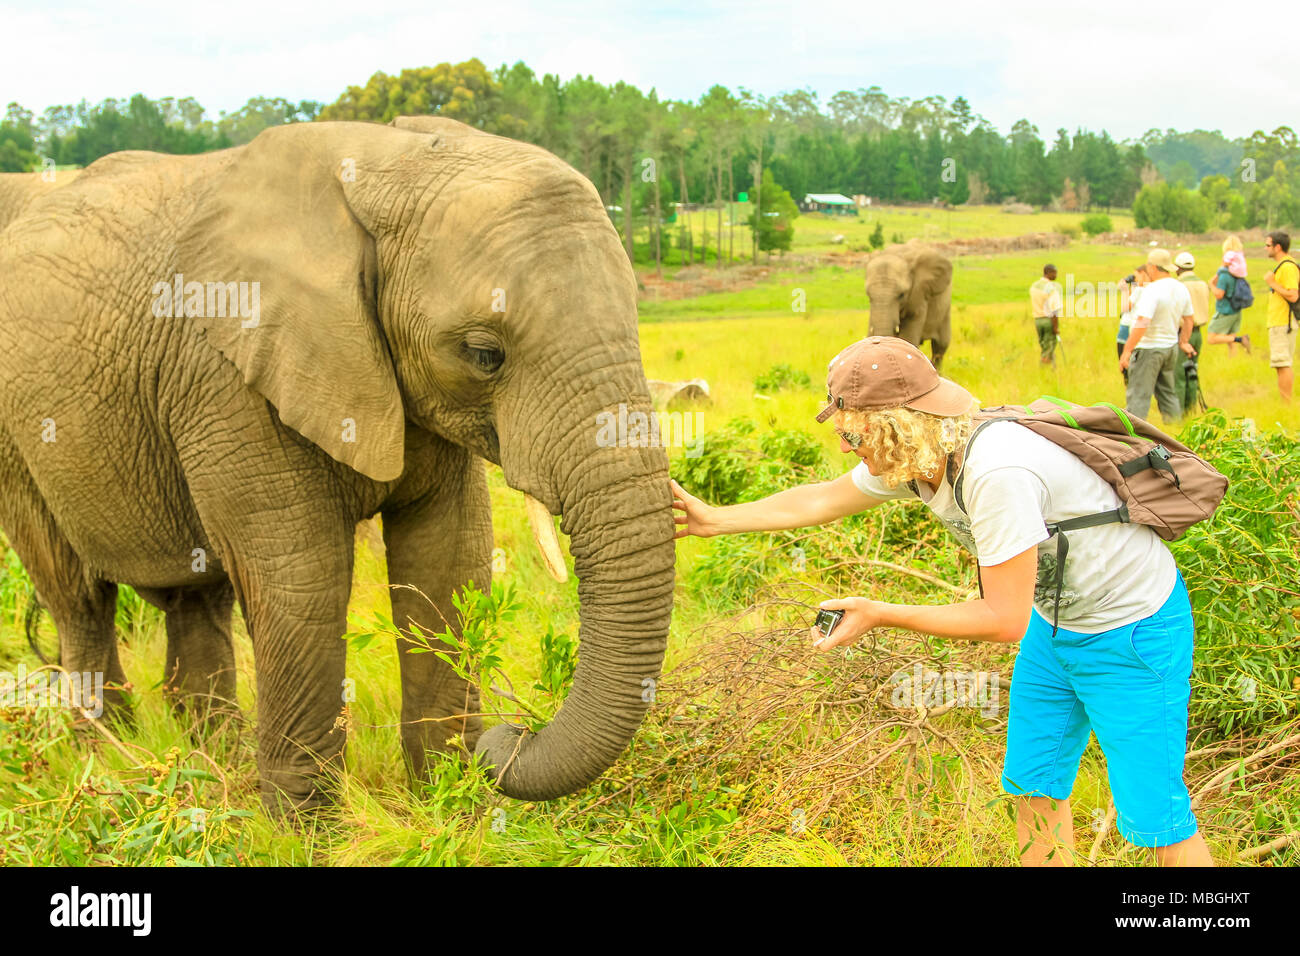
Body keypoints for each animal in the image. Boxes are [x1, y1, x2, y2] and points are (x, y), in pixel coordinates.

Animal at [0, 115, 676, 810]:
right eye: (484, 354)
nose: (509, 737)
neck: (389, 163)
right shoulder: (231, 378)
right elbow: (304, 578)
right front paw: (311, 827)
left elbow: (449, 556)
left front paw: (449, 800)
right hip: (18, 441)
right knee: (78, 596)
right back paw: (110, 761)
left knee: (197, 596)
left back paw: (211, 763)